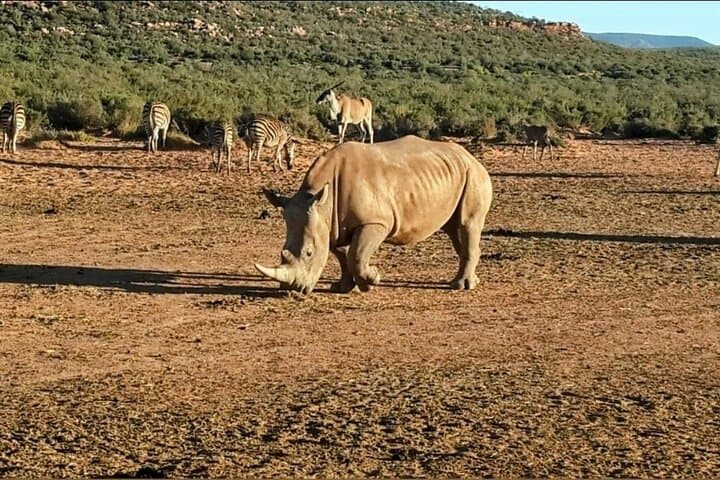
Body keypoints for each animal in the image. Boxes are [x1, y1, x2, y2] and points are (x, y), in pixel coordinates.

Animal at [255, 135, 493, 294]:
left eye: (309, 253)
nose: (293, 291)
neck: (322, 200)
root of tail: (471, 157)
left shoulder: (375, 222)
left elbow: (357, 255)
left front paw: (372, 279)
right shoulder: (330, 224)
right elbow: (342, 254)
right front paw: (342, 287)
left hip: (474, 176)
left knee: (467, 223)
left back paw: (461, 286)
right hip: (455, 174)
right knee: (454, 229)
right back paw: (471, 281)